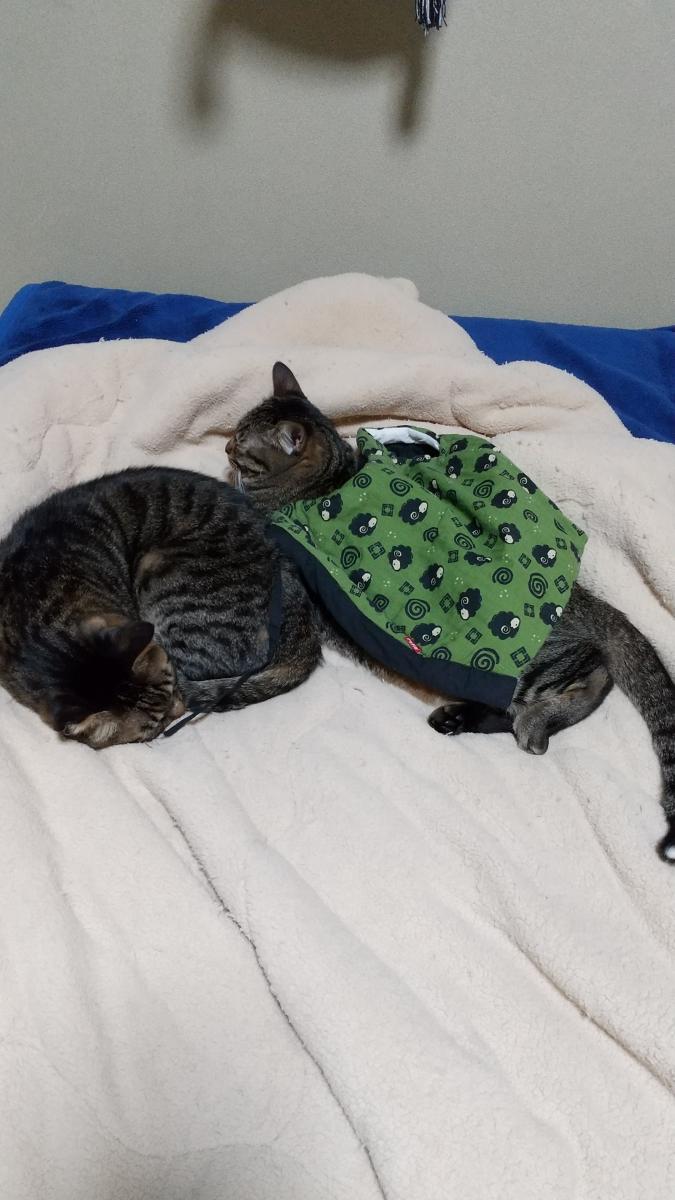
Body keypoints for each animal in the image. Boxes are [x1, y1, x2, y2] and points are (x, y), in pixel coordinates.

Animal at [228, 362, 675, 862]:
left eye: (241, 444)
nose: (224, 445)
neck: (330, 479)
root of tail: (582, 597)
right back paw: (462, 720)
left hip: (534, 667)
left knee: (591, 677)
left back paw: (535, 726)